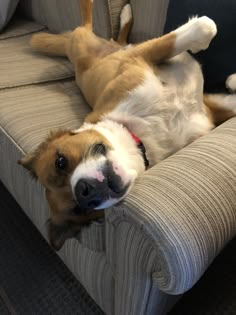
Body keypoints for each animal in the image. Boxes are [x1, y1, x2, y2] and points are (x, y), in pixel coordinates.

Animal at [18, 0, 236, 252]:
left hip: (88, 44)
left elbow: (199, 29)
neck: (142, 133)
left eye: (60, 161)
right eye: (80, 209)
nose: (85, 192)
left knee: (94, 26)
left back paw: (123, 14)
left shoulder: (141, 57)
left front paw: (230, 78)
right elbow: (204, 27)